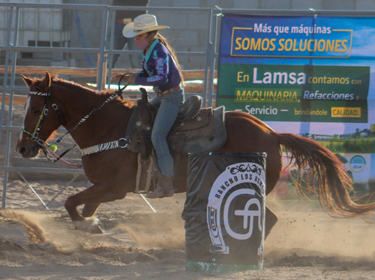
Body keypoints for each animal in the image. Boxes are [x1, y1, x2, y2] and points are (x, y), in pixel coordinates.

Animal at [16, 73, 375, 235]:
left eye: (35, 109)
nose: (22, 148)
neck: (108, 128)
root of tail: (272, 134)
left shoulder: (114, 188)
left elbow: (70, 203)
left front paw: (87, 226)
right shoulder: (104, 190)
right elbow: (83, 207)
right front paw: (92, 227)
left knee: (265, 219)